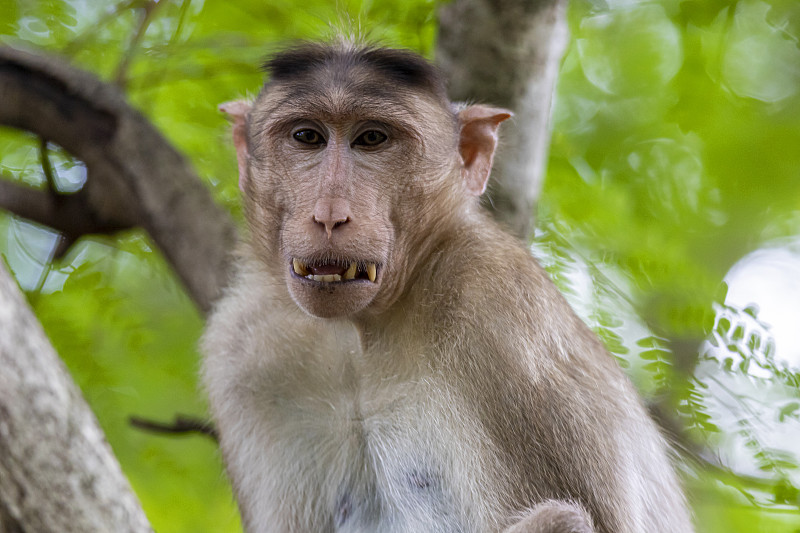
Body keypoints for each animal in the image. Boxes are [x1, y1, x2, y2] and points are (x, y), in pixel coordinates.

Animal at [202, 42, 692, 532]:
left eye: (372, 139)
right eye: (307, 137)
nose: (329, 215)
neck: (361, 335)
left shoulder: (499, 306)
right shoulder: (244, 347)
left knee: (561, 518)